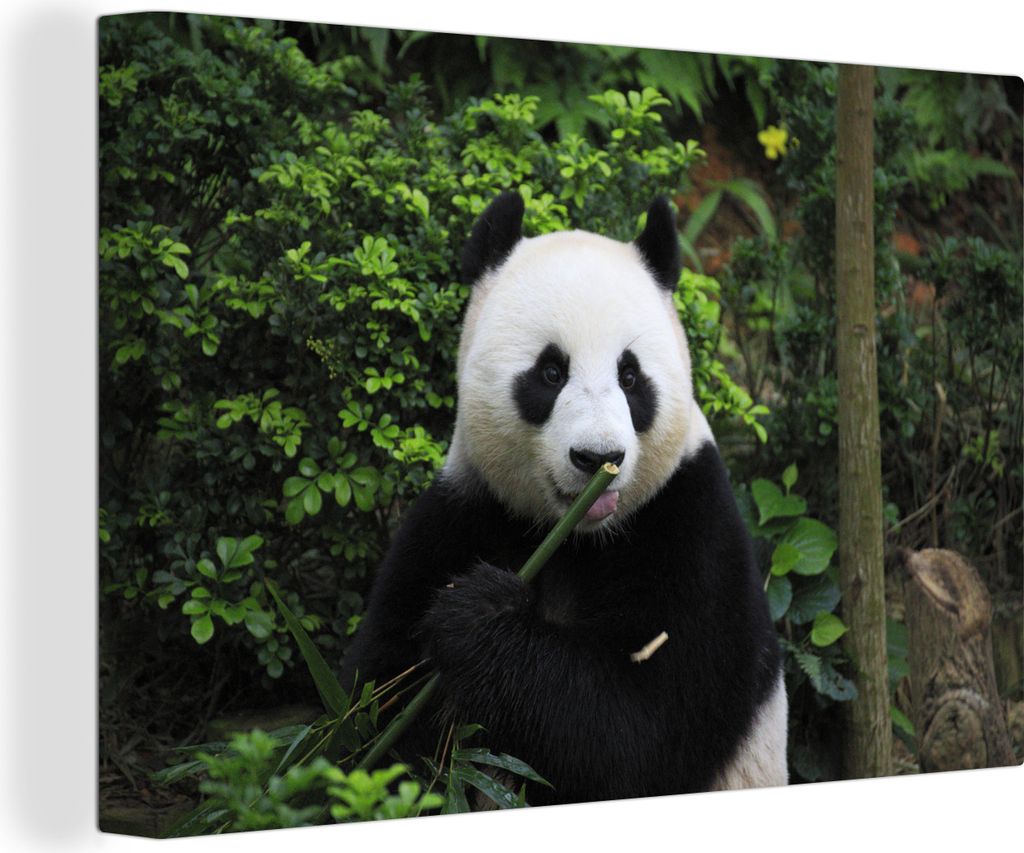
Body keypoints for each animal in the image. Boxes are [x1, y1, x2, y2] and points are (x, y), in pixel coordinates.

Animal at [342, 191, 787, 804]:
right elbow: (380, 700)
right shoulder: (464, 511)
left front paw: (482, 618)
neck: (575, 537)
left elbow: (640, 733)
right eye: (551, 372)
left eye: (631, 377)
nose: (598, 457)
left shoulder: (691, 525)